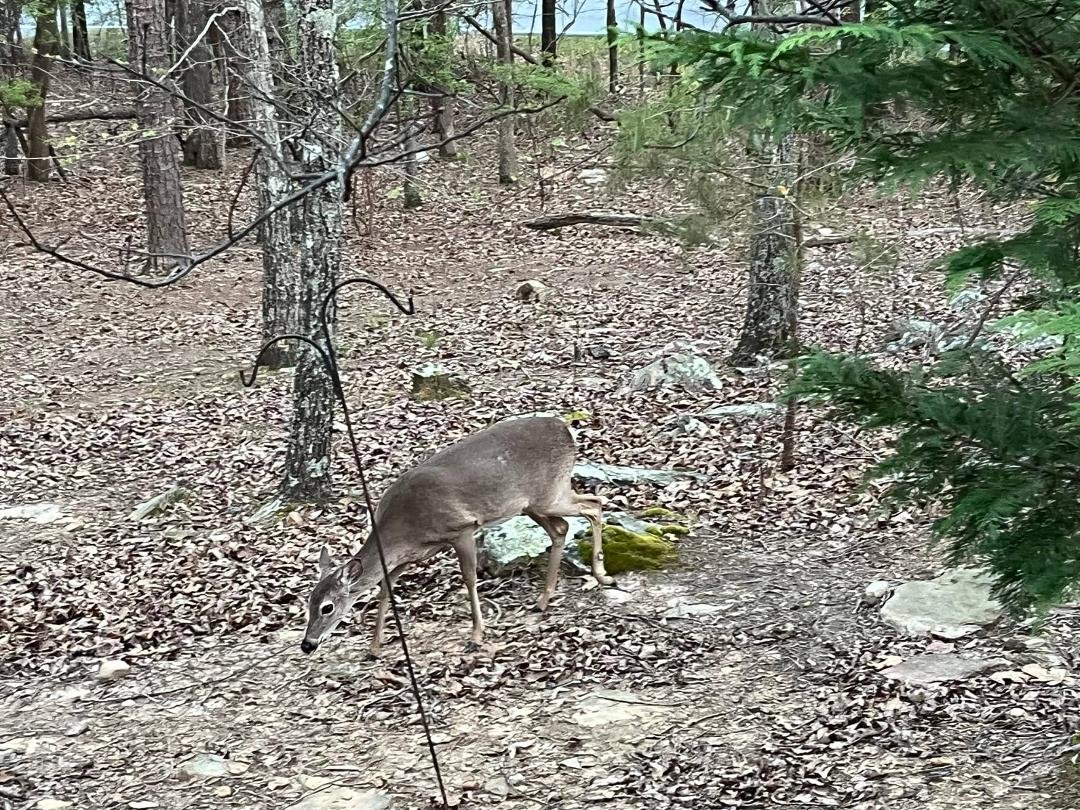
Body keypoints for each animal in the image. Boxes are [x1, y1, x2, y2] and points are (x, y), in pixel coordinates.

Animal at [300, 416, 614, 655]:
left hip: (549, 494)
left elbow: (470, 578)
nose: (307, 644)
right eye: (309, 602)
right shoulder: (409, 556)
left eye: (327, 607)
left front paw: (476, 635)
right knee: (562, 528)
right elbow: (385, 590)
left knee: (595, 504)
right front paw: (375, 646)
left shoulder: (460, 529)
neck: (403, 529)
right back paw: (544, 598)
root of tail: (566, 429)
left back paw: (601, 574)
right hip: (529, 504)